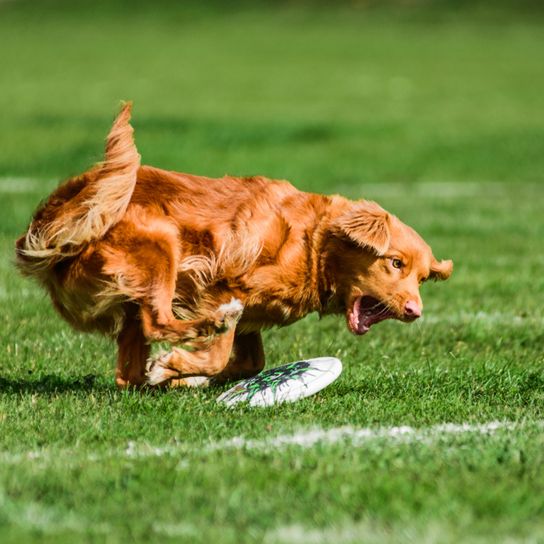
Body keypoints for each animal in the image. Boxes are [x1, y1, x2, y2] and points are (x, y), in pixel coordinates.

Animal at [15, 104, 450, 388]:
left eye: (422, 278)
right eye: (395, 263)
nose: (415, 311)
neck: (313, 243)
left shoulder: (253, 315)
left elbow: (252, 363)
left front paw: (179, 374)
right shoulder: (221, 287)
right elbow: (221, 352)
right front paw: (178, 366)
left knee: (128, 373)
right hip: (161, 243)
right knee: (159, 322)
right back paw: (203, 332)